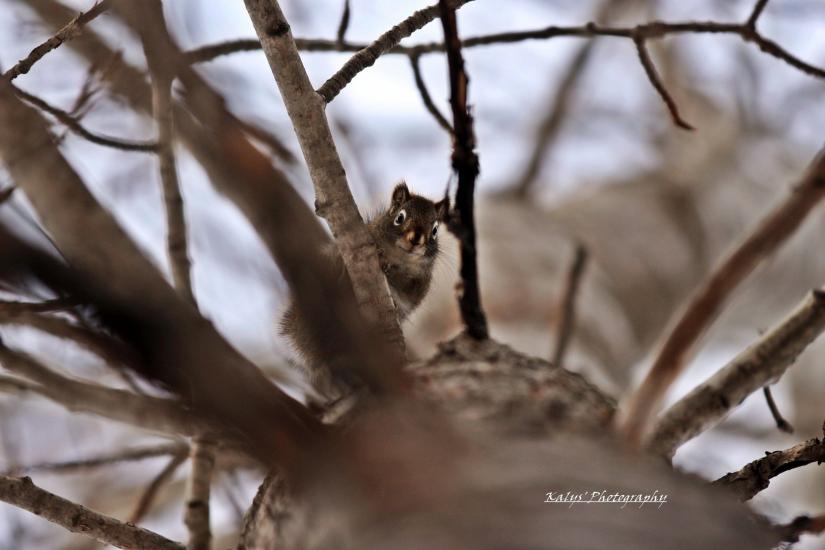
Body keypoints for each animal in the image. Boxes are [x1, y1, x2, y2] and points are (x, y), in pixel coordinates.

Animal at [281, 182, 448, 400]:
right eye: (399, 217)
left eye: (435, 230)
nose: (415, 239)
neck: (400, 258)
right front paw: (380, 257)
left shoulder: (417, 285)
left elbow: (405, 289)